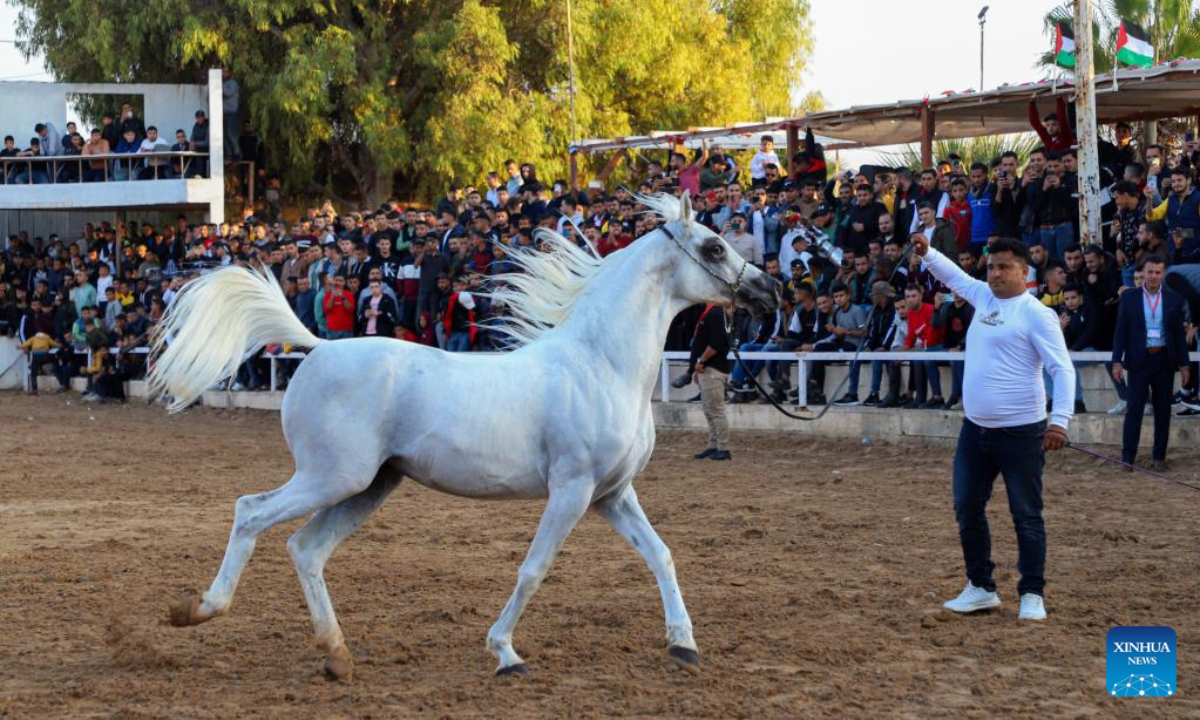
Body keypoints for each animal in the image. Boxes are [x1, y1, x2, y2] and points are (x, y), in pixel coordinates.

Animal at [147, 190, 777, 681]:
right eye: (714, 248)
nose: (769, 291)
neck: (601, 364)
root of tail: (320, 346)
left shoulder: (612, 494)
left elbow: (662, 555)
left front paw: (684, 645)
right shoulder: (572, 490)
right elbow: (533, 569)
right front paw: (506, 654)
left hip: (369, 486)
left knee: (306, 548)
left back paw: (336, 656)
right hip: (332, 477)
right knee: (250, 511)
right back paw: (200, 610)